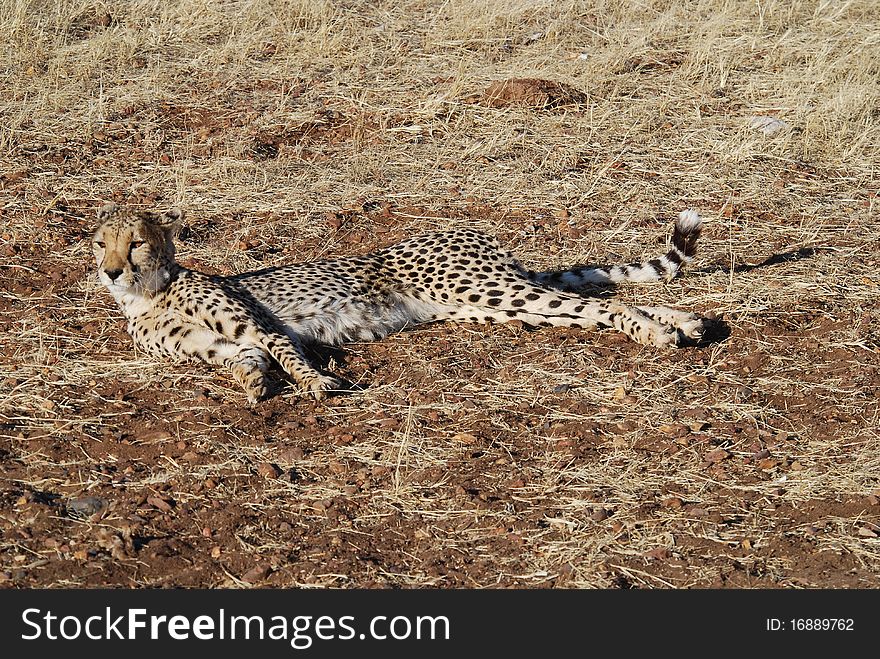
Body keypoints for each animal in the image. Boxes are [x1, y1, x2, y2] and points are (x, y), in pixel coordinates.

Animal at [93, 204, 704, 402]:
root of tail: (468, 231)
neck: (147, 296)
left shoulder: (262, 325)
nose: (111, 270)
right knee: (587, 300)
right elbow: (249, 361)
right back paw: (687, 322)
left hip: (481, 288)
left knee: (604, 305)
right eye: (100, 243)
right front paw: (255, 385)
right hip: (493, 304)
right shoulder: (217, 344)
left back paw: (660, 331)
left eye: (137, 241)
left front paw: (319, 383)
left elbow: (286, 352)